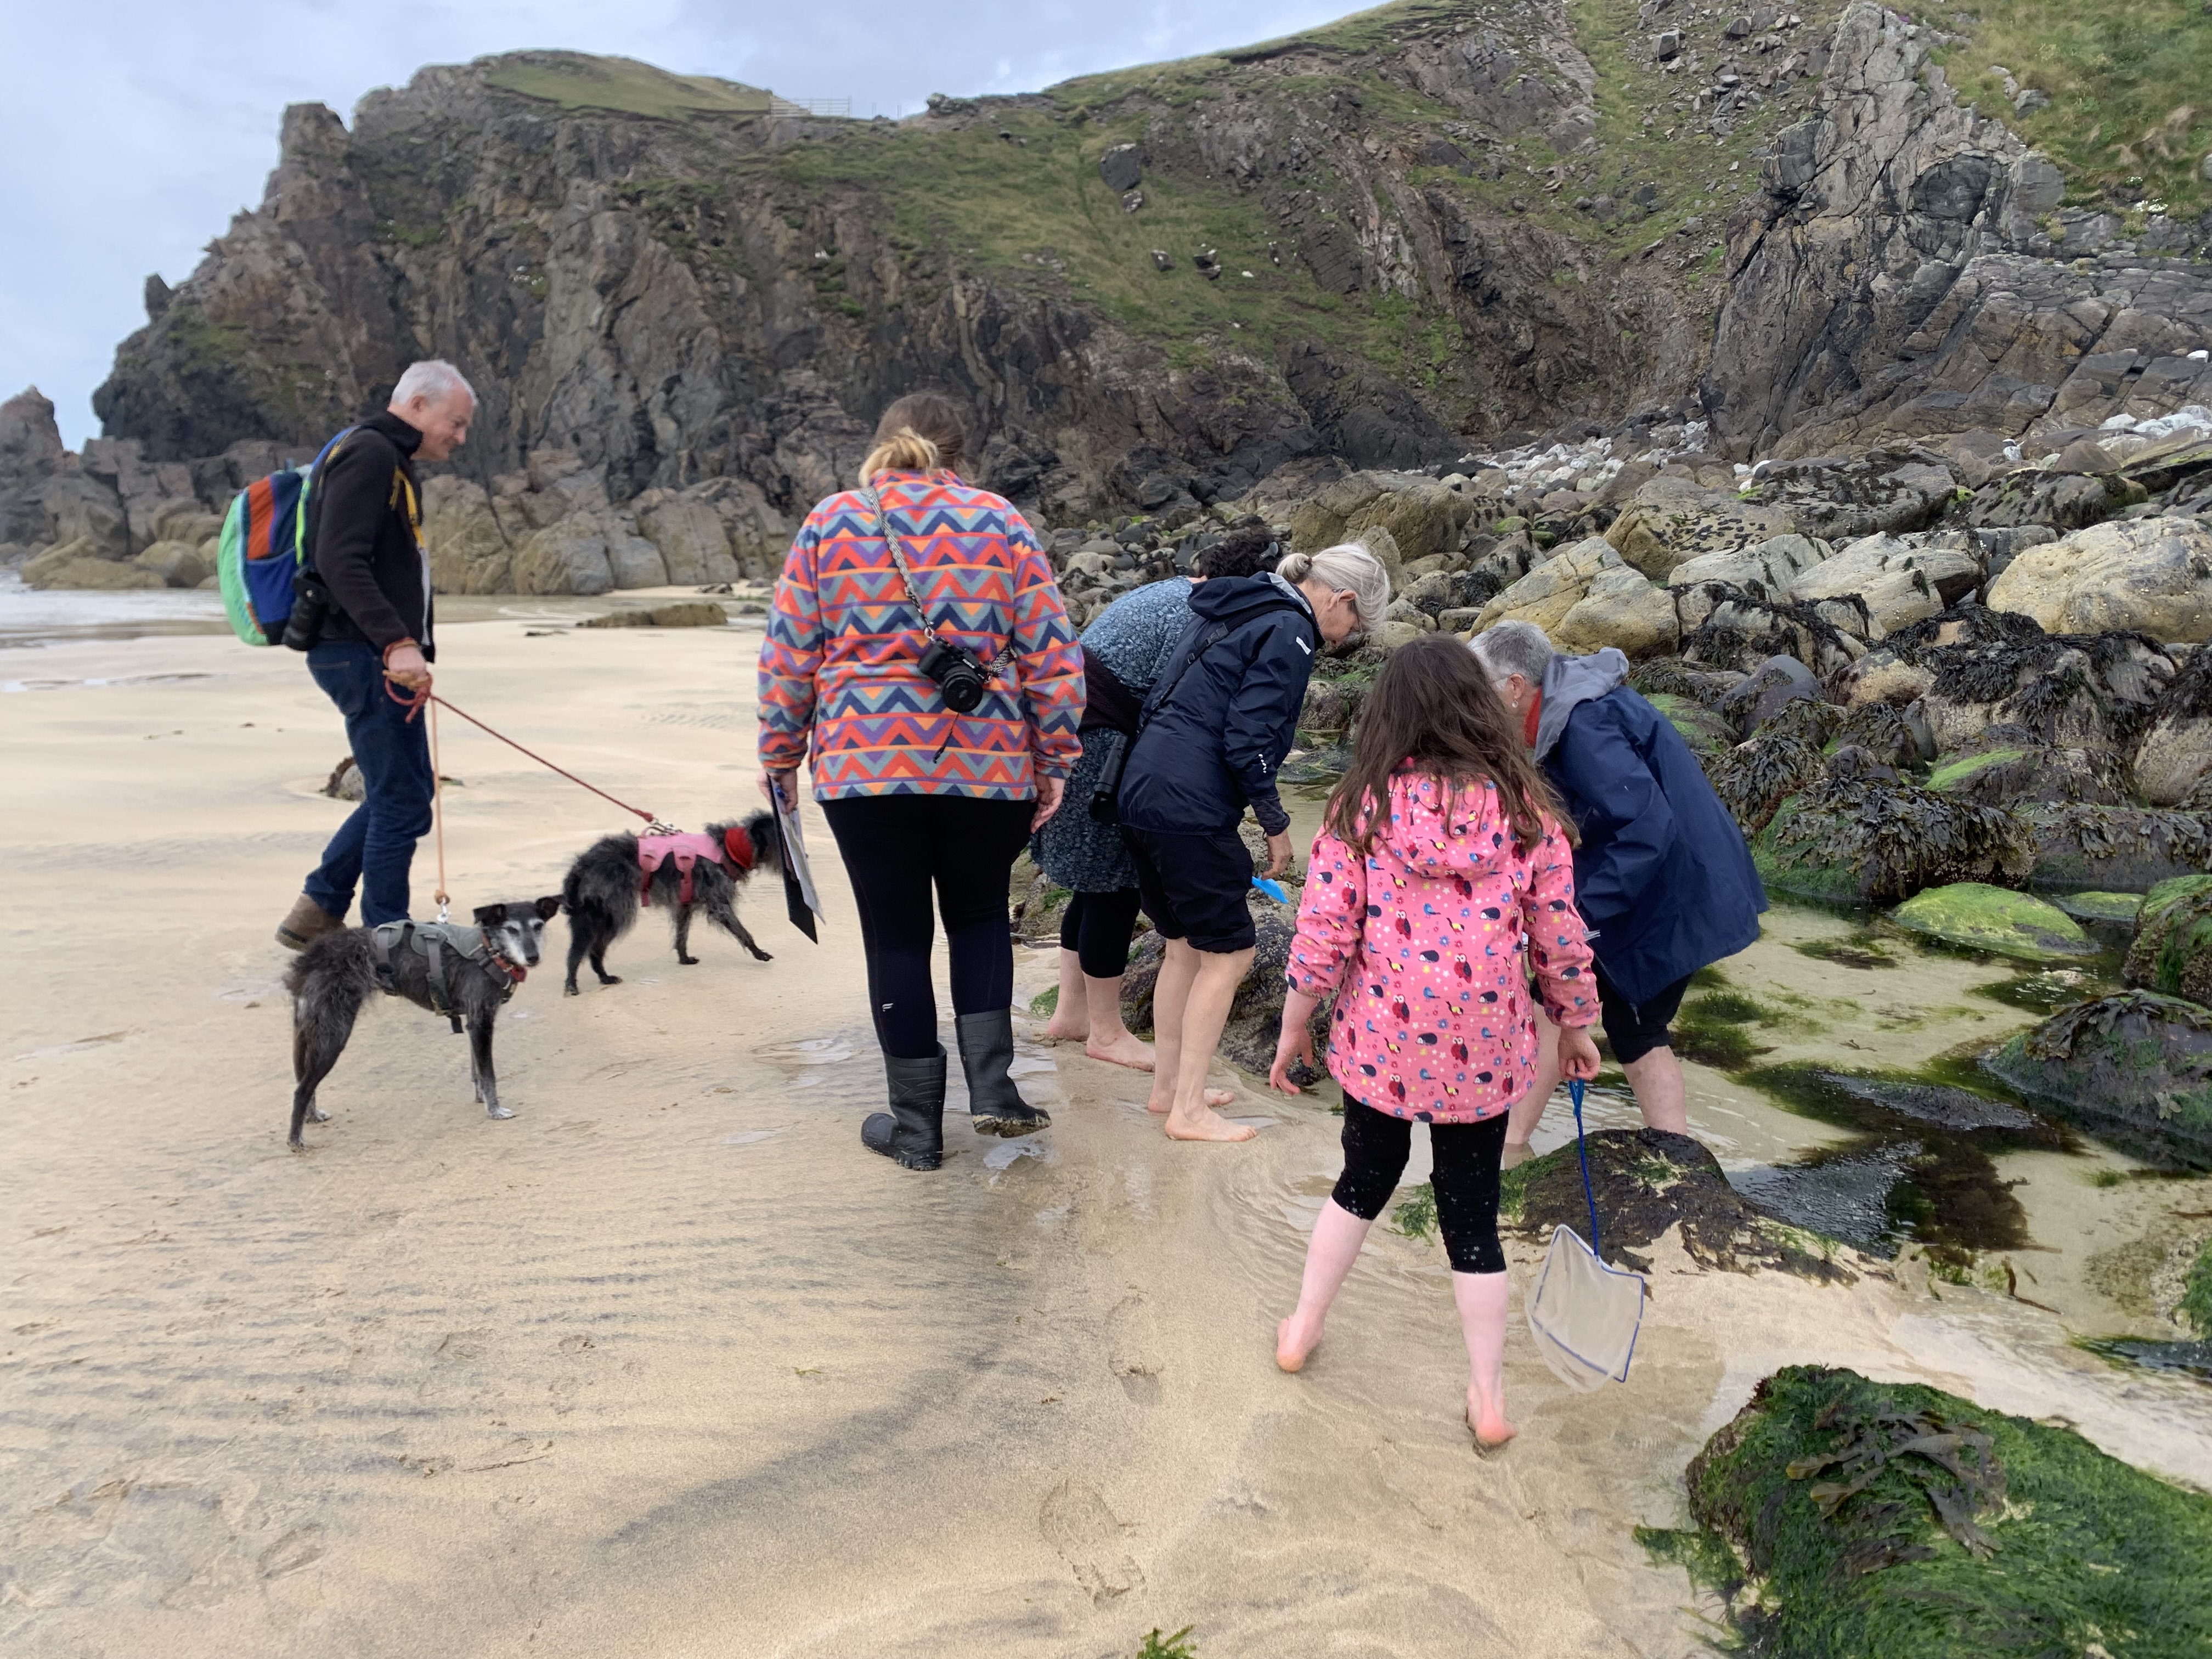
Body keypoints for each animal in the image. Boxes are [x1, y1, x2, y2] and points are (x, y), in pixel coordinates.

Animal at [281, 902, 557, 1150]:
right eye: (511, 929)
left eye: (538, 926)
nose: (533, 958)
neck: (490, 951)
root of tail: (309, 959)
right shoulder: (482, 1022)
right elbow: (488, 1073)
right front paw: (495, 1109)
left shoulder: (474, 1023)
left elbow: (477, 1071)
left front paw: (481, 1099)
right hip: (333, 1036)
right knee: (301, 1090)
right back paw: (295, 1140)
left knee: (304, 1082)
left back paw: (311, 1117)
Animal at [562, 809, 787, 995]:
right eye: (780, 840)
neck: (729, 848)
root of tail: (581, 865)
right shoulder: (719, 904)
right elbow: (743, 932)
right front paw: (759, 953)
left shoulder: (684, 905)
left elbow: (682, 935)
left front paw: (684, 959)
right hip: (610, 914)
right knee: (584, 950)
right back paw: (574, 984)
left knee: (589, 949)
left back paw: (602, 977)